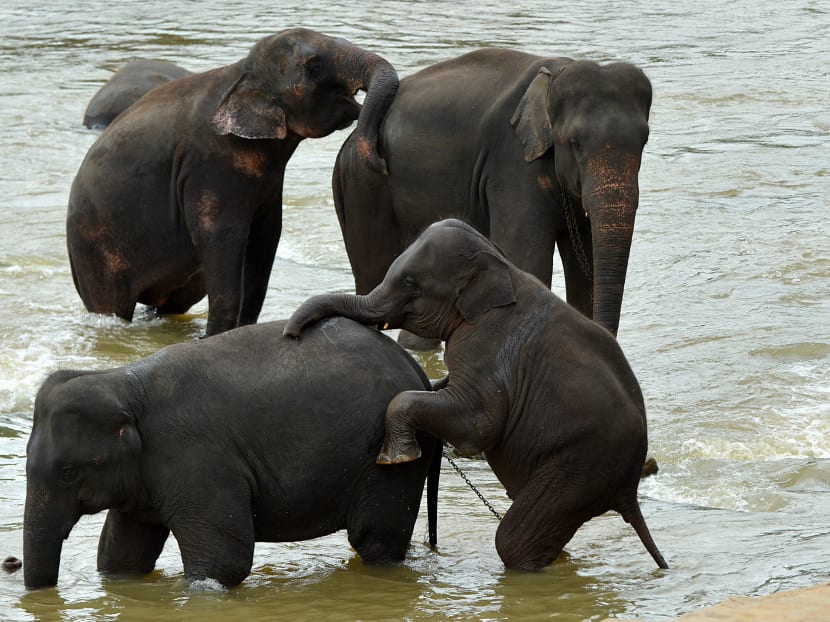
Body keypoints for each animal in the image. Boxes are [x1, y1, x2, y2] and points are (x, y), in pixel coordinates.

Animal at [23, 318, 441, 589]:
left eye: (68, 472)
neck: (122, 382)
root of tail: (421, 374)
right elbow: (122, 554)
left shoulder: (195, 459)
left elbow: (223, 560)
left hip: (388, 464)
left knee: (376, 537)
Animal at [67, 28, 398, 337]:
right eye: (314, 67)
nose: (381, 163)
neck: (242, 73)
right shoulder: (210, 165)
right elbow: (221, 236)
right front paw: (213, 337)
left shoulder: (266, 181)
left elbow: (266, 236)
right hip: (94, 253)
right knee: (112, 305)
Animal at [284, 219, 668, 572]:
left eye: (410, 283)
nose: (291, 334)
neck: (502, 266)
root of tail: (630, 490)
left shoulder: (486, 345)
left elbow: (478, 426)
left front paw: (396, 459)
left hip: (581, 465)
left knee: (513, 540)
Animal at [331, 48, 652, 345]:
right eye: (576, 144)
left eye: (644, 142)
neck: (554, 77)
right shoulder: (513, 166)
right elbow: (528, 261)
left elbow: (584, 273)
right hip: (363, 185)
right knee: (371, 273)